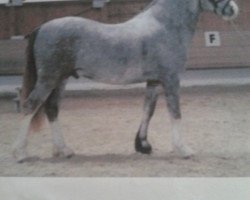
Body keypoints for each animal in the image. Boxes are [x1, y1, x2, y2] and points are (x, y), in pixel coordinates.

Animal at [13, 0, 238, 162]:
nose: (233, 9)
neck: (165, 26)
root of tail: (42, 27)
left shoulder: (154, 82)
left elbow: (148, 111)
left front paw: (143, 146)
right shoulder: (171, 80)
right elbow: (175, 113)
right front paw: (183, 149)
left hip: (60, 80)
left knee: (51, 109)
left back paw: (63, 150)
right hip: (48, 80)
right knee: (30, 106)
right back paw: (21, 153)